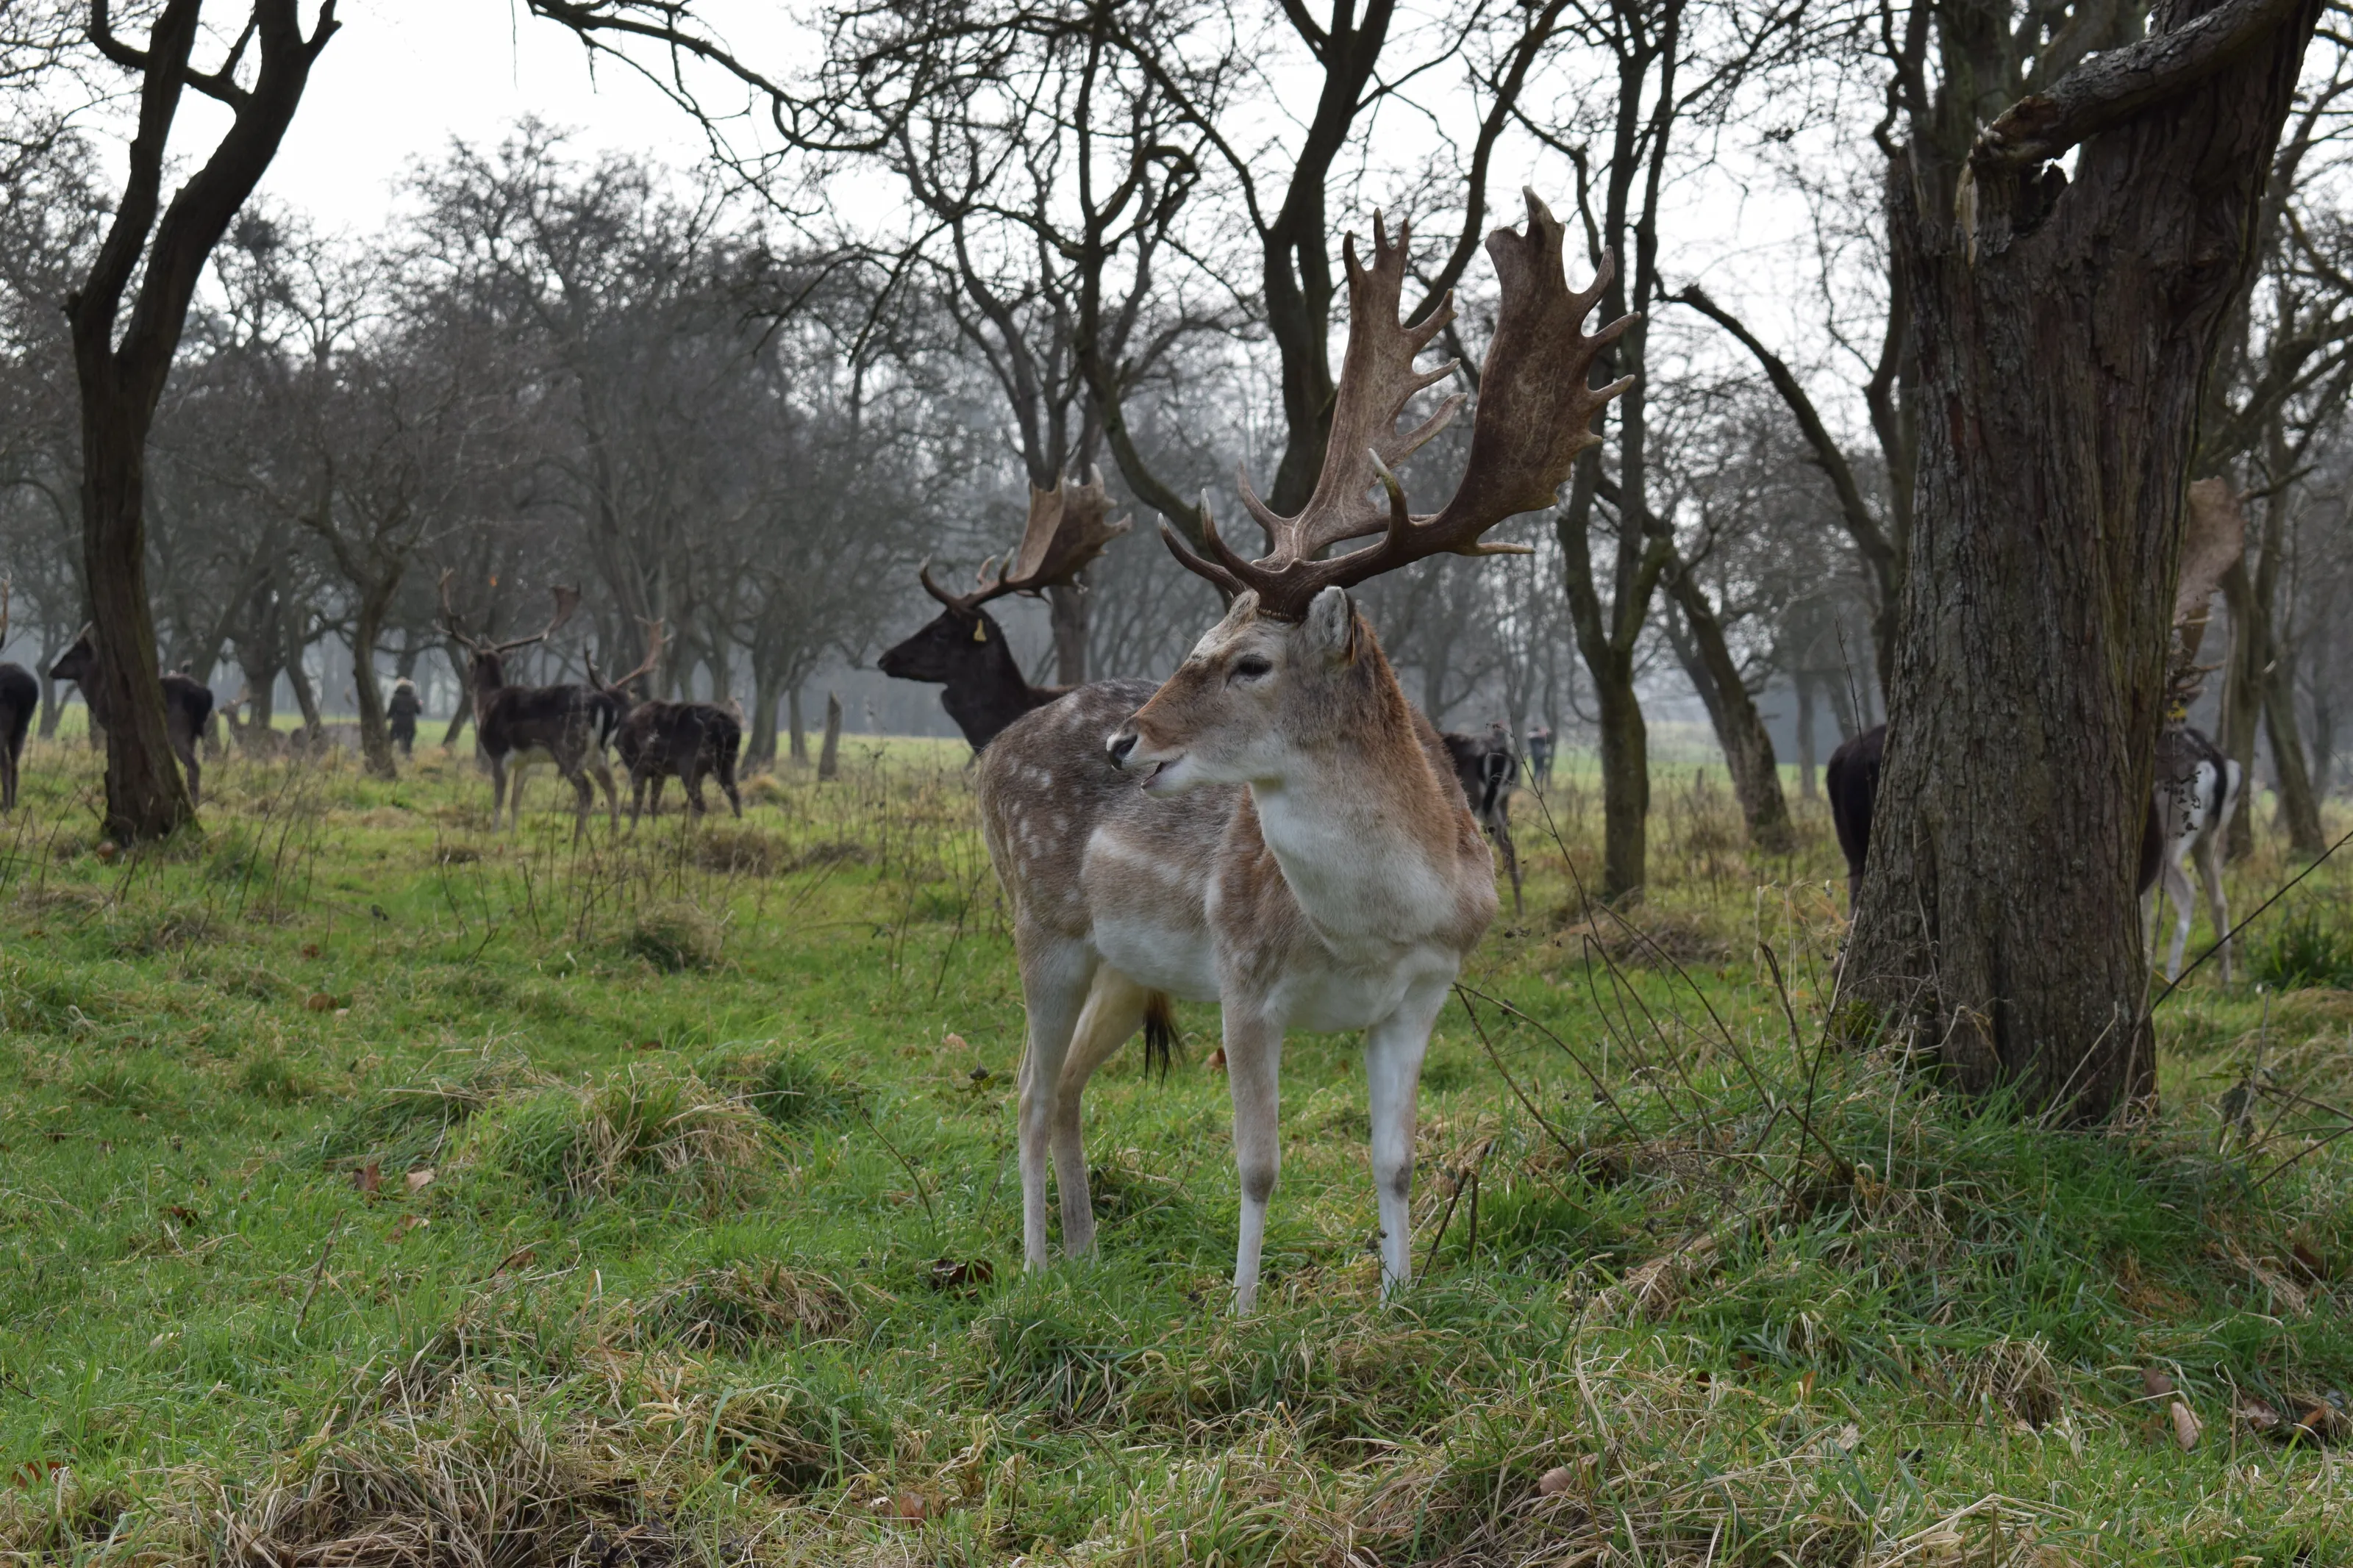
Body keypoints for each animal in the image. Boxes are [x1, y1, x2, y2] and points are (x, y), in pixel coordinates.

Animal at [49, 624, 214, 806]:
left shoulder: (112, 726)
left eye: (70, 654)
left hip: (179, 729)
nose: (52, 671)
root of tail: (207, 697)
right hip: (192, 734)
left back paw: (195, 803)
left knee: (194, 765)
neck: (99, 697)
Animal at [438, 574, 618, 842]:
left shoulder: (498, 753)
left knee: (587, 789)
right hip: (600, 753)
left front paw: (493, 835)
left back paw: (578, 841)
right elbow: (516, 800)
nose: (468, 685)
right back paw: (617, 839)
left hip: (569, 749)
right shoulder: (525, 762)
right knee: (612, 788)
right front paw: (513, 835)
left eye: (470, 662)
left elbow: (499, 799)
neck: (486, 704)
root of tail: (606, 705)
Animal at [978, 194, 1631, 1313]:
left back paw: (1087, 1256)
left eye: (1248, 661)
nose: (1125, 740)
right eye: (1200, 640)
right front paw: (1242, 1315)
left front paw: (1399, 1299)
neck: (1366, 930)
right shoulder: (1244, 979)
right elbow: (1257, 1163)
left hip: (1120, 965)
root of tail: (989, 752)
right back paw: (1031, 1267)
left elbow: (1395, 1160)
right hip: (1041, 921)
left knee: (1060, 1088)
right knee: (1022, 1088)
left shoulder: (1424, 992)